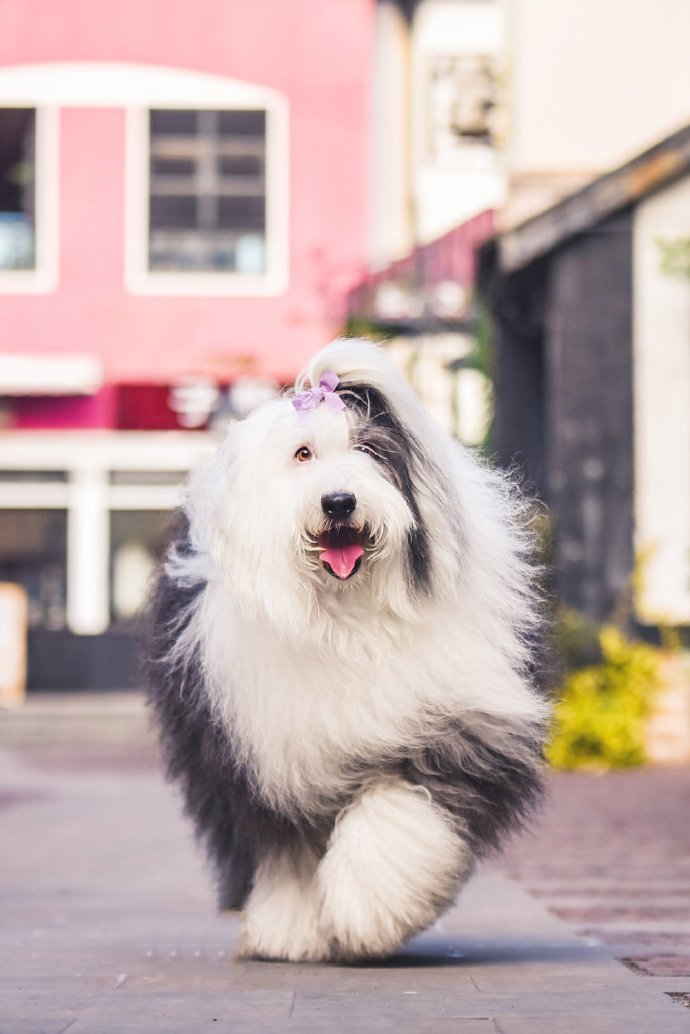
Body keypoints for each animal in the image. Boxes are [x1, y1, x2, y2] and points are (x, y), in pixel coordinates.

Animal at [146, 337, 550, 959]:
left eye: (369, 449)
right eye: (303, 454)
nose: (339, 502)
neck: (348, 618)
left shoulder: (458, 723)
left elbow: (397, 810)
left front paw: (371, 906)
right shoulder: (267, 752)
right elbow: (287, 847)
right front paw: (291, 928)